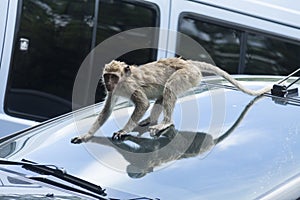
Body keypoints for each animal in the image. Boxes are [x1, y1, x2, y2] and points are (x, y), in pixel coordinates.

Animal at [71, 57, 274, 143]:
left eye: (113, 76)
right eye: (107, 76)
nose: (108, 82)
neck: (121, 82)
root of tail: (188, 63)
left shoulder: (130, 86)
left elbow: (143, 103)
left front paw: (123, 130)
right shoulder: (113, 92)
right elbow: (106, 111)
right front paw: (85, 135)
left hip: (188, 76)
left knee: (169, 88)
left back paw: (165, 122)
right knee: (163, 94)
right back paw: (150, 120)